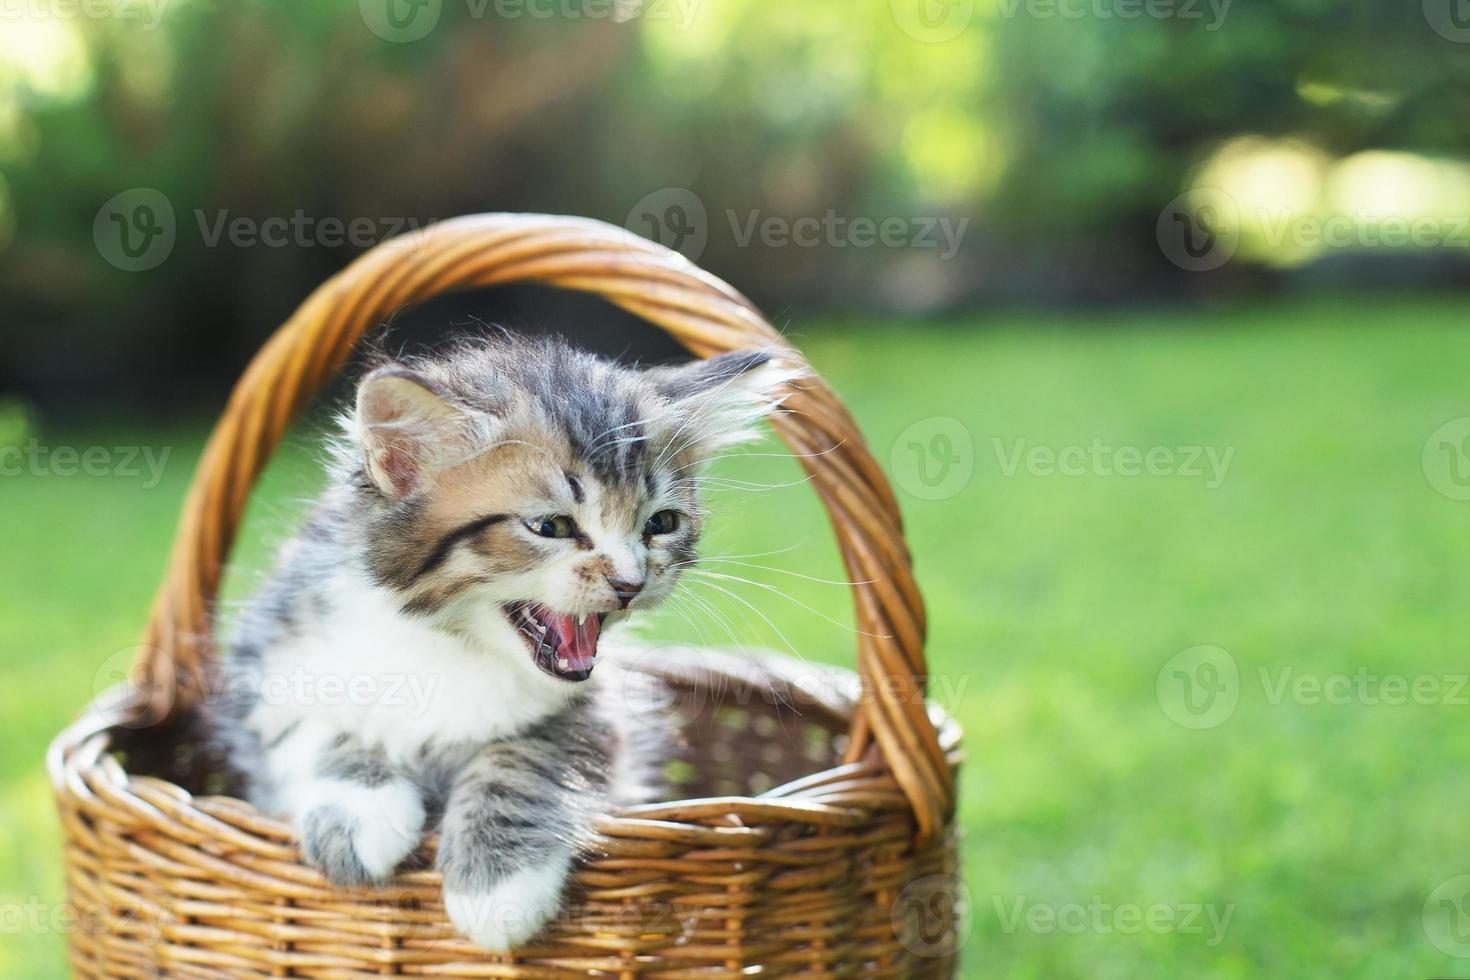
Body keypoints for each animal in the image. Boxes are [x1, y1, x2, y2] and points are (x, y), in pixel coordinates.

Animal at [210, 334, 793, 952]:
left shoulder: (605, 708)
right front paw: (356, 813)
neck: (453, 647)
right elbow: (319, 727)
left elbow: (528, 754)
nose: (631, 582)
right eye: (551, 527)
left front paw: (496, 885)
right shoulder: (264, 665)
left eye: (660, 523)